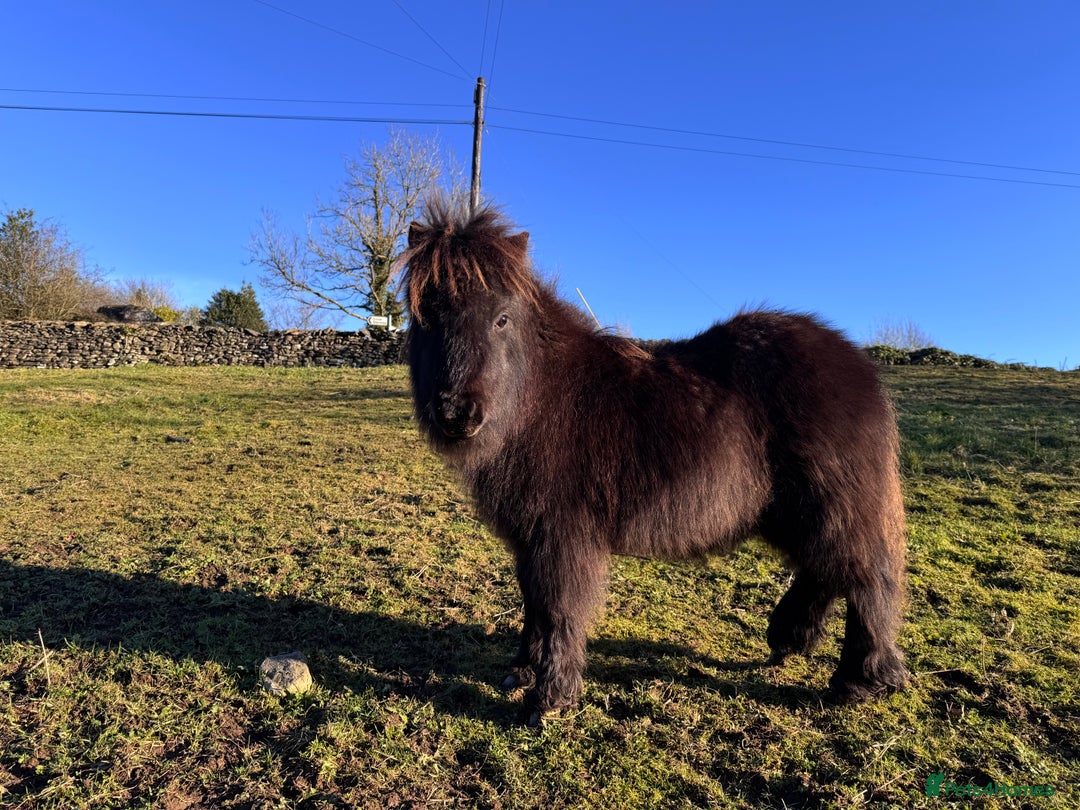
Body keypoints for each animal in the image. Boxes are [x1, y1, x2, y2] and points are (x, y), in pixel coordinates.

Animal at [402, 200, 909, 725]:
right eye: (427, 315)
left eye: (501, 319)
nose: (457, 413)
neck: (542, 397)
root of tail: (857, 365)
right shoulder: (530, 537)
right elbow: (533, 603)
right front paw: (522, 670)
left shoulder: (562, 537)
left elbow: (559, 607)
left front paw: (549, 699)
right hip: (789, 512)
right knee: (826, 567)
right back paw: (790, 638)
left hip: (831, 503)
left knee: (867, 575)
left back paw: (862, 680)